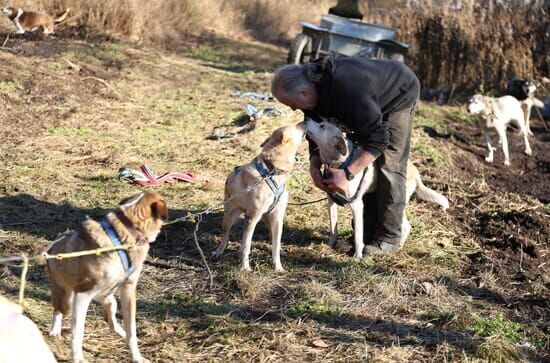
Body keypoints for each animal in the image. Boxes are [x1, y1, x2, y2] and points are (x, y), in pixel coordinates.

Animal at [46, 192, 168, 362]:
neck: (125, 233)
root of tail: (52, 245)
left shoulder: (128, 289)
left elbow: (131, 331)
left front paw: (136, 356)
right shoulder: (82, 294)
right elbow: (78, 331)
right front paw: (77, 357)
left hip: (109, 300)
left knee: (110, 321)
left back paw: (121, 333)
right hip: (67, 299)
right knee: (58, 310)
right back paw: (55, 330)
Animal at [212, 123, 306, 272]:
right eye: (296, 126)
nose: (305, 121)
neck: (271, 172)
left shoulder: (277, 217)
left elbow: (275, 245)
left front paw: (278, 267)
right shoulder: (251, 218)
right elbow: (246, 245)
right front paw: (245, 267)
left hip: (268, 217)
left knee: (273, 237)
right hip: (229, 216)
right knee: (225, 236)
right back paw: (219, 251)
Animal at [304, 119, 450, 258]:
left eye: (322, 126)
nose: (306, 120)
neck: (340, 163)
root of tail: (415, 171)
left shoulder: (357, 205)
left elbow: (358, 236)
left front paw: (357, 256)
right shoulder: (331, 201)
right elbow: (333, 229)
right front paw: (329, 246)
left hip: (399, 201)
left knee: (406, 226)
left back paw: (397, 246)